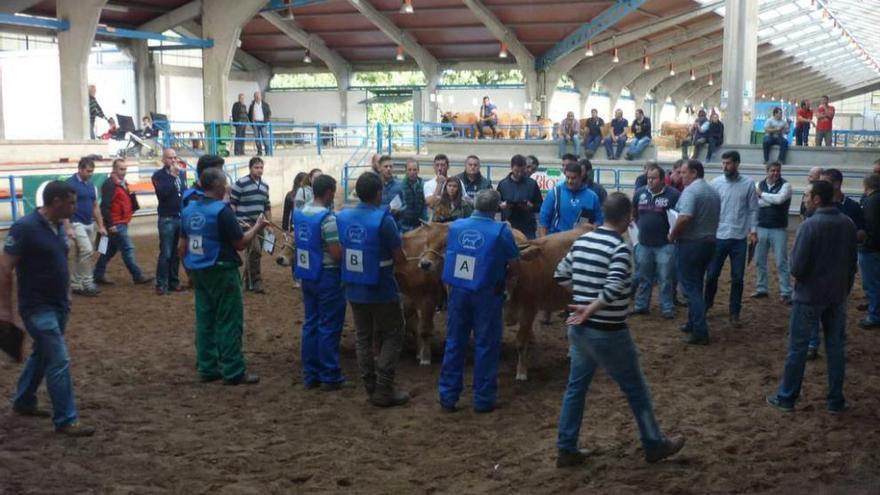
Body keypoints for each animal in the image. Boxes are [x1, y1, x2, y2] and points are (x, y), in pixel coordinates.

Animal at [414, 223, 588, 382]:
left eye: (513, 264)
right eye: (426, 243)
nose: (425, 263)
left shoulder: (529, 310)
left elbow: (521, 342)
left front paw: (521, 372)